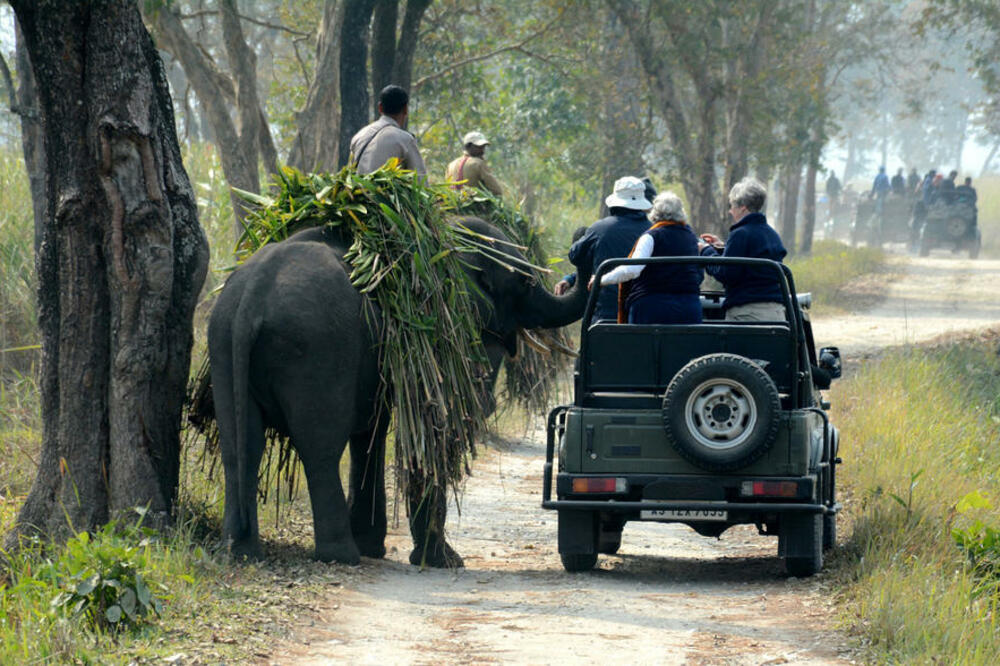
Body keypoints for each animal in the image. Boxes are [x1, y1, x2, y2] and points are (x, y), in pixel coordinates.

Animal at [207, 217, 588, 564]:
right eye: (525, 282)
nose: (582, 238)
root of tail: (252, 298)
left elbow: (372, 433)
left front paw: (378, 547)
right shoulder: (436, 333)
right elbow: (432, 432)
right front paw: (443, 560)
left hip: (223, 341)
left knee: (240, 446)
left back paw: (240, 552)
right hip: (316, 348)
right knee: (320, 447)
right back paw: (342, 556)